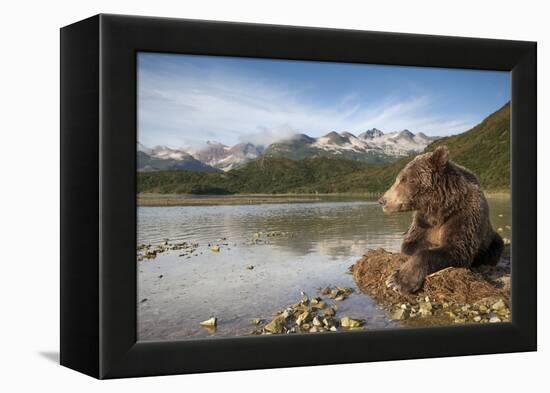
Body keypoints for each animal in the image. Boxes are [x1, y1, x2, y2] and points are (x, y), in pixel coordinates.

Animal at [380, 145, 504, 292]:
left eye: (408, 179)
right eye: (398, 179)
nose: (383, 200)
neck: (440, 208)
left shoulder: (463, 216)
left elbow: (456, 249)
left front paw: (397, 281)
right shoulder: (423, 221)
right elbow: (410, 243)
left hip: (491, 240)